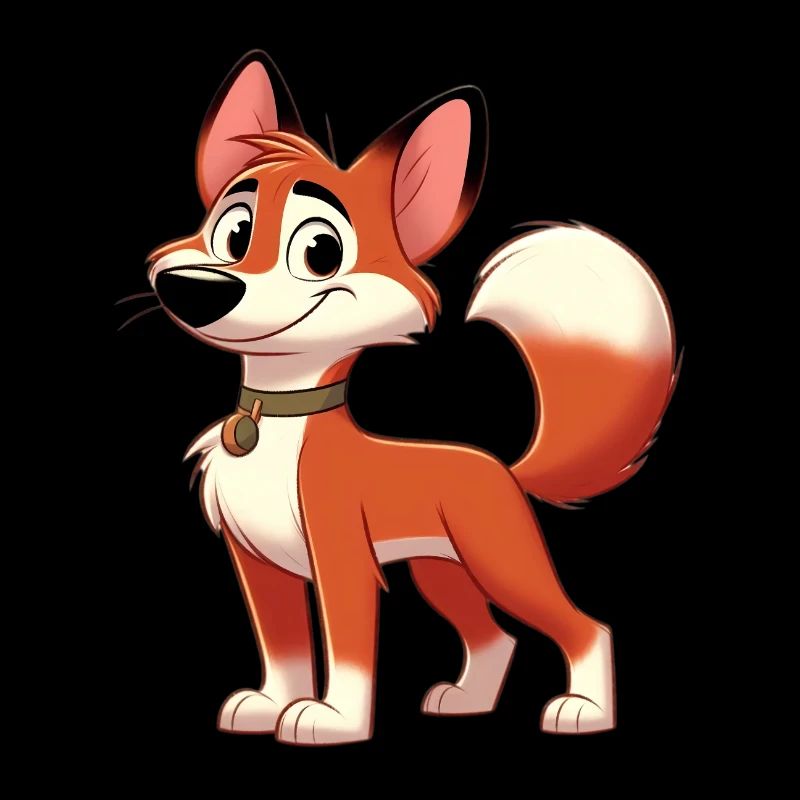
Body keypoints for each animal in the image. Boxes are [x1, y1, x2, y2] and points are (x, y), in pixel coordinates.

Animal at [142, 50, 678, 746]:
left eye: (320, 250)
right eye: (231, 231)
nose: (196, 288)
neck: (276, 420)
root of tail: (503, 468)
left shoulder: (342, 558)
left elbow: (347, 649)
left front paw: (332, 719)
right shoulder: (257, 565)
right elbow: (284, 651)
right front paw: (268, 706)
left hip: (501, 561)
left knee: (585, 626)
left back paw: (584, 710)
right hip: (441, 572)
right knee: (495, 639)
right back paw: (467, 701)